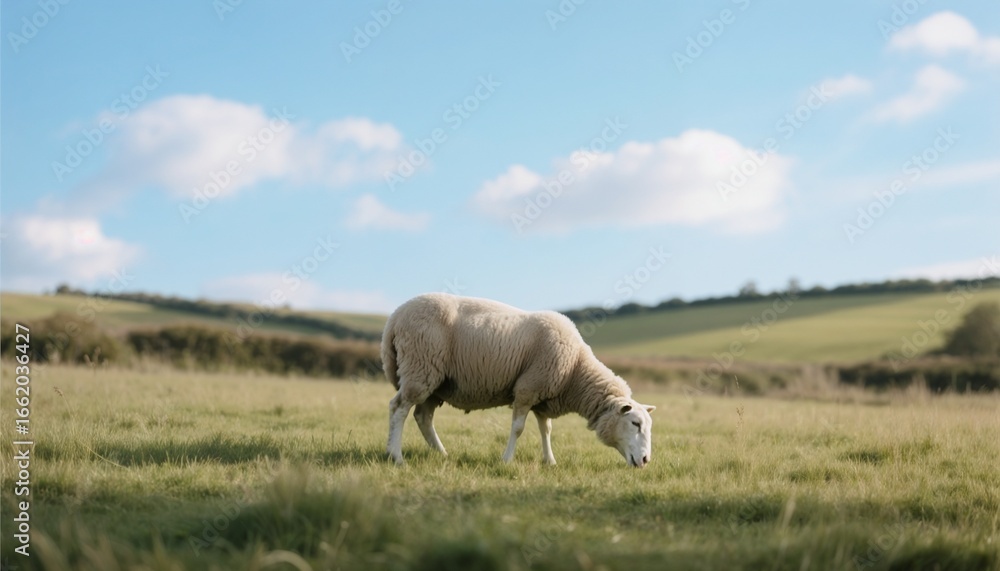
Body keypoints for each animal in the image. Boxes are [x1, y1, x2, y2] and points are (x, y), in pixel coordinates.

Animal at [381, 292, 656, 467]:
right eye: (635, 423)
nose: (645, 460)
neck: (575, 370)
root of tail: (394, 317)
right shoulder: (527, 388)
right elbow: (518, 428)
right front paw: (506, 460)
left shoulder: (543, 397)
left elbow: (546, 430)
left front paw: (550, 461)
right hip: (420, 368)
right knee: (399, 408)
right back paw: (396, 456)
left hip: (436, 382)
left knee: (423, 417)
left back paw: (441, 454)